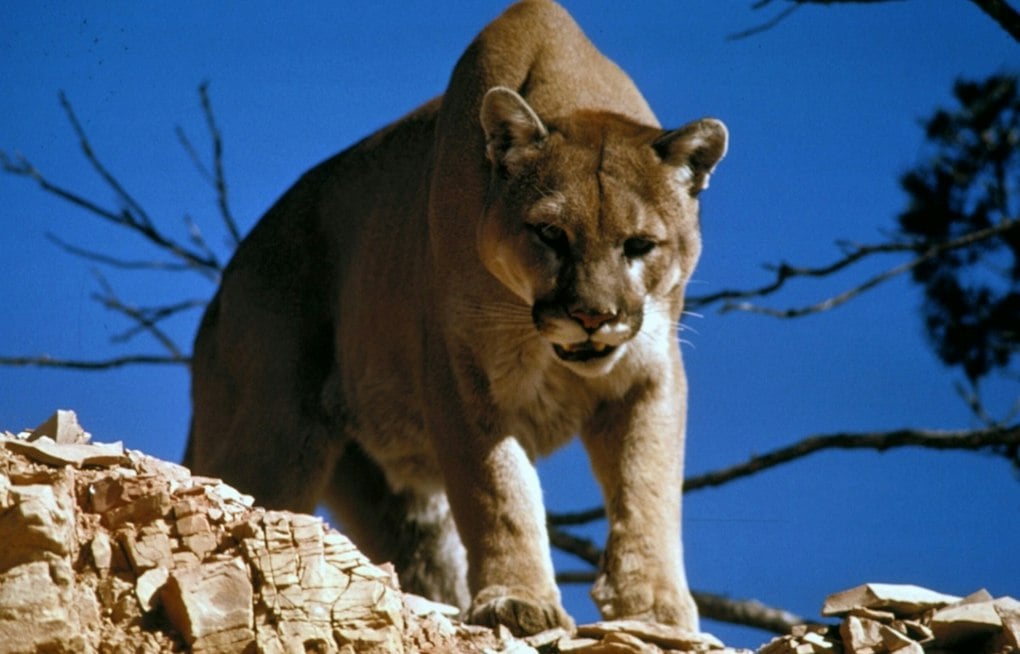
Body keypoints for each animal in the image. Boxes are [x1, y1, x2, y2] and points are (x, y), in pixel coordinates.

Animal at [185, 0, 727, 637]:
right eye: (551, 234)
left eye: (640, 245)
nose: (593, 316)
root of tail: (225, 286)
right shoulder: (460, 373)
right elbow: (498, 490)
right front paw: (519, 601)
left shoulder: (649, 372)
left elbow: (649, 488)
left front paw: (655, 608)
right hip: (270, 434)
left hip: (391, 495)